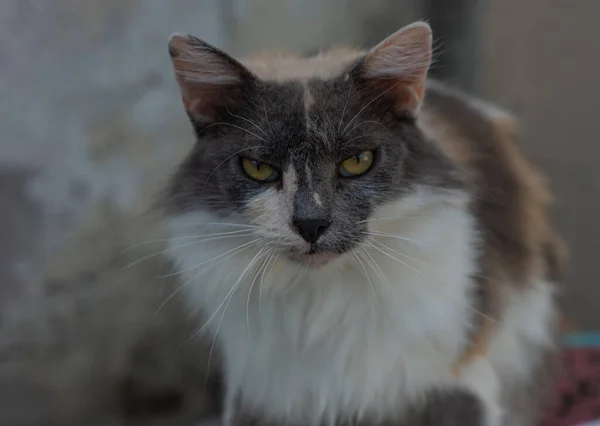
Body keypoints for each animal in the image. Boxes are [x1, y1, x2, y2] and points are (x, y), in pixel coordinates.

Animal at [162, 20, 564, 426]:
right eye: (259, 168)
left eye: (356, 162)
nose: (310, 224)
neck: (320, 298)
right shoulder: (261, 392)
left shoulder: (460, 380)